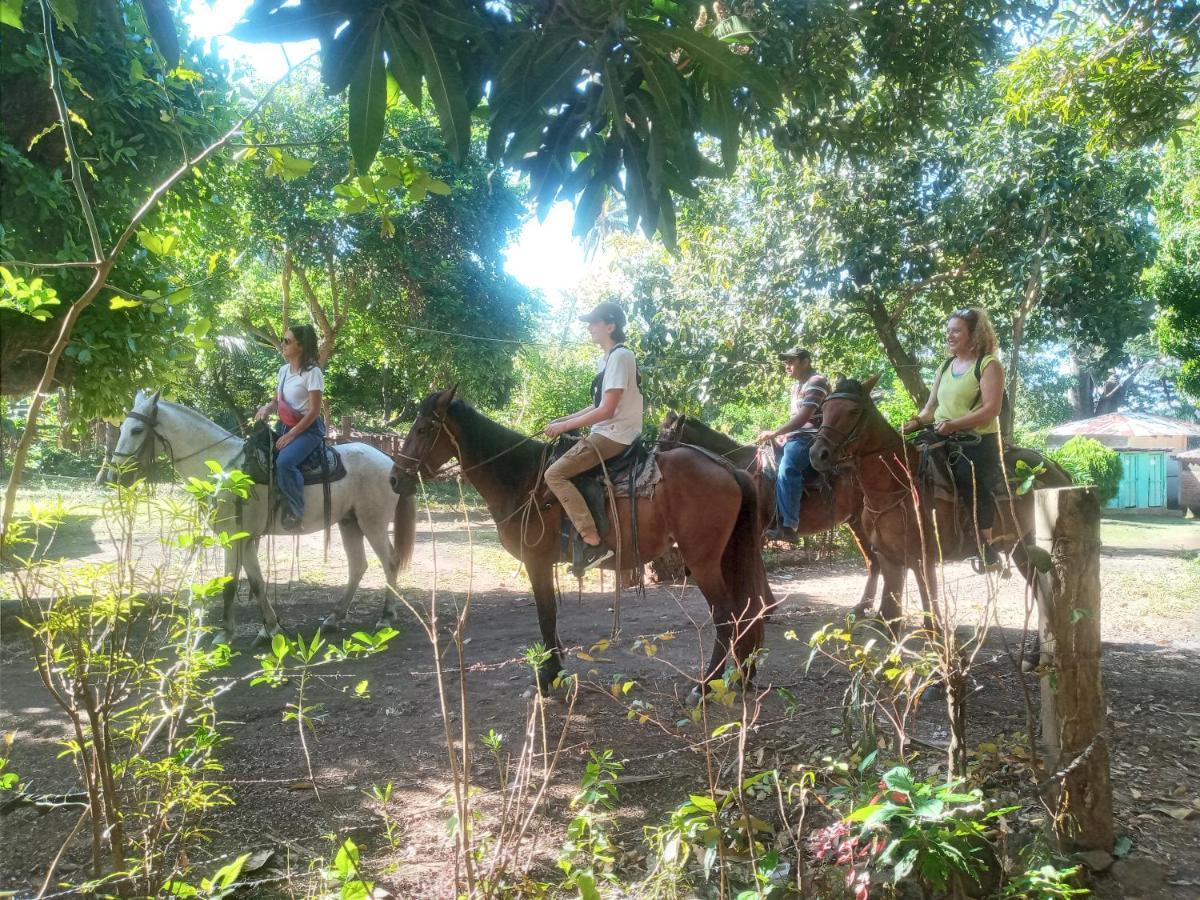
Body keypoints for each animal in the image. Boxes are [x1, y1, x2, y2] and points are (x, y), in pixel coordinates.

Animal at [108, 391, 417, 643]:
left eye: (137, 430)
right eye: (121, 428)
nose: (116, 476)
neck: (222, 468)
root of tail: (390, 463)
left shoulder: (233, 537)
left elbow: (233, 584)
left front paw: (227, 632)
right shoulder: (245, 539)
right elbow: (255, 583)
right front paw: (270, 628)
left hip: (372, 523)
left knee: (389, 562)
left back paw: (386, 617)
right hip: (349, 522)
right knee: (358, 566)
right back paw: (333, 618)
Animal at [388, 388, 772, 691]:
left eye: (423, 429)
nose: (394, 479)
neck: (522, 479)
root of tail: (727, 468)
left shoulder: (537, 562)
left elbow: (546, 616)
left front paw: (549, 679)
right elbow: (551, 618)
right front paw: (556, 672)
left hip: (702, 560)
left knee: (725, 615)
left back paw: (705, 686)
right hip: (725, 556)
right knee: (747, 610)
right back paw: (743, 676)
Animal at [657, 415, 883, 614]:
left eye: (665, 441)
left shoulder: (756, 531)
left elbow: (756, 568)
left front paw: (763, 608)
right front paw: (767, 607)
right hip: (856, 521)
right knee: (874, 562)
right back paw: (863, 607)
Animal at [811, 374, 1075, 628]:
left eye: (853, 411)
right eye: (824, 409)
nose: (817, 454)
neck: (897, 486)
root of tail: (1056, 467)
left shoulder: (923, 559)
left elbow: (932, 617)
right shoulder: (890, 559)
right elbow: (890, 617)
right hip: (1020, 546)